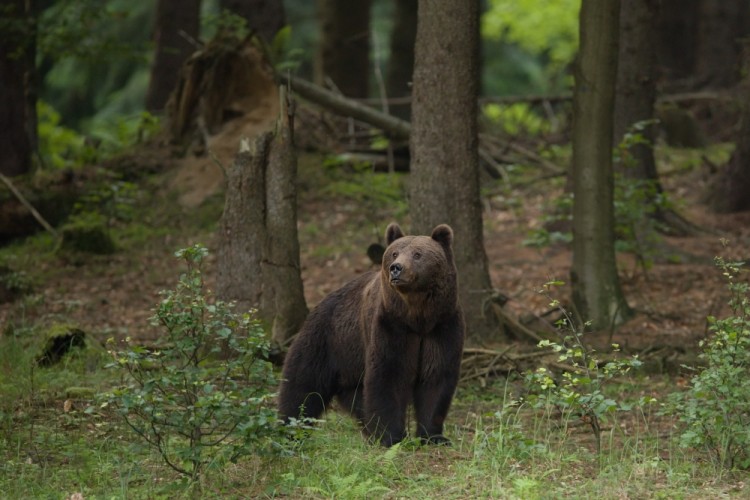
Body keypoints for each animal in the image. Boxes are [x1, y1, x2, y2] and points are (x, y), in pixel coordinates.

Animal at [278, 223, 464, 446]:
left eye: (418, 254)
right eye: (394, 253)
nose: (396, 268)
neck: (417, 316)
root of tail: (319, 304)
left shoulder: (442, 326)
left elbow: (436, 376)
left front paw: (433, 436)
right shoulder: (392, 325)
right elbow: (388, 375)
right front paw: (390, 436)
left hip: (350, 363)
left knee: (356, 397)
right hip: (326, 342)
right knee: (302, 387)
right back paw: (290, 430)